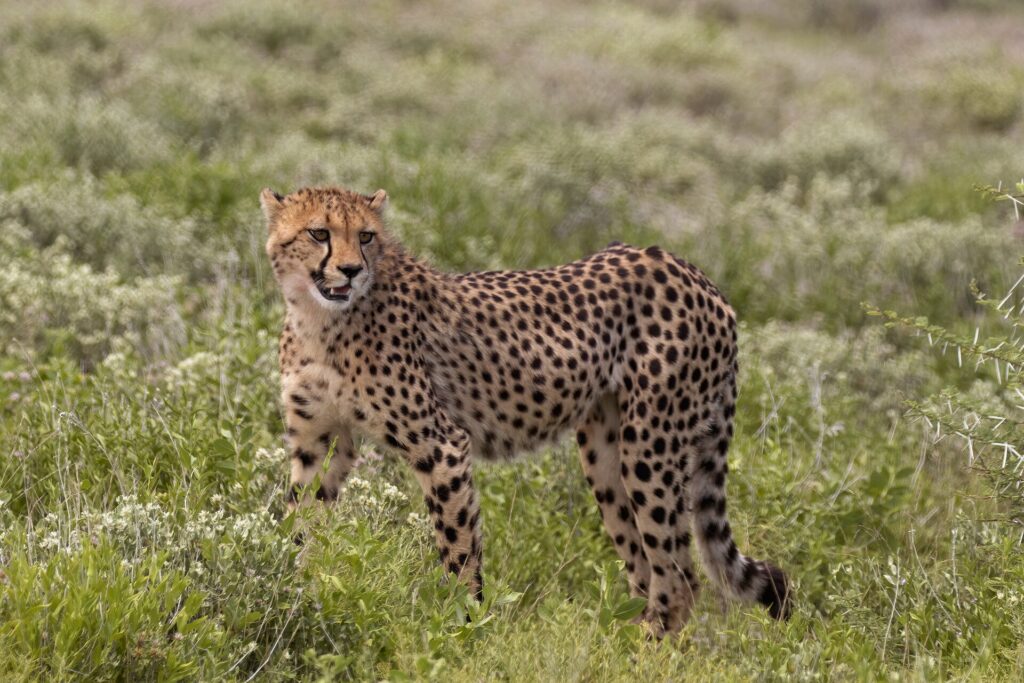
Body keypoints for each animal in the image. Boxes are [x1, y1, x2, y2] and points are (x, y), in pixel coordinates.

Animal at [262, 184, 791, 635]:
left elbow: (458, 551)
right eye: (319, 233)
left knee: (680, 579)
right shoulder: (319, 443)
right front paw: (291, 594)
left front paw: (464, 631)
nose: (351, 270)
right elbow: (299, 526)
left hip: (651, 446)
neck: (320, 319)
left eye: (366, 236)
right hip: (606, 457)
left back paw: (641, 652)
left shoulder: (442, 446)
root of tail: (694, 273)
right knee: (648, 570)